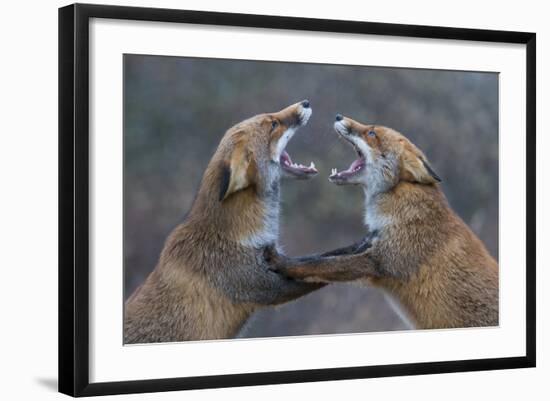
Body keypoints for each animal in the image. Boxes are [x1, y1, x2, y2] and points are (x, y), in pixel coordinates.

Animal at [124, 101, 324, 344]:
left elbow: (318, 260)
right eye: (273, 124)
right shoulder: (263, 286)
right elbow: (324, 272)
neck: (232, 236)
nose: (305, 103)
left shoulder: (274, 262)